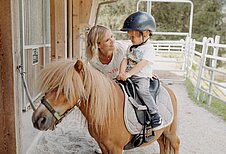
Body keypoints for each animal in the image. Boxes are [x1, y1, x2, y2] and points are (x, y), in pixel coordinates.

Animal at [31, 59, 180, 153]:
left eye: (67, 89)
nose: (38, 119)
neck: (109, 110)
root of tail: (169, 91)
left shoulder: (116, 148)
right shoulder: (103, 146)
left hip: (170, 133)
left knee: (176, 144)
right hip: (161, 134)